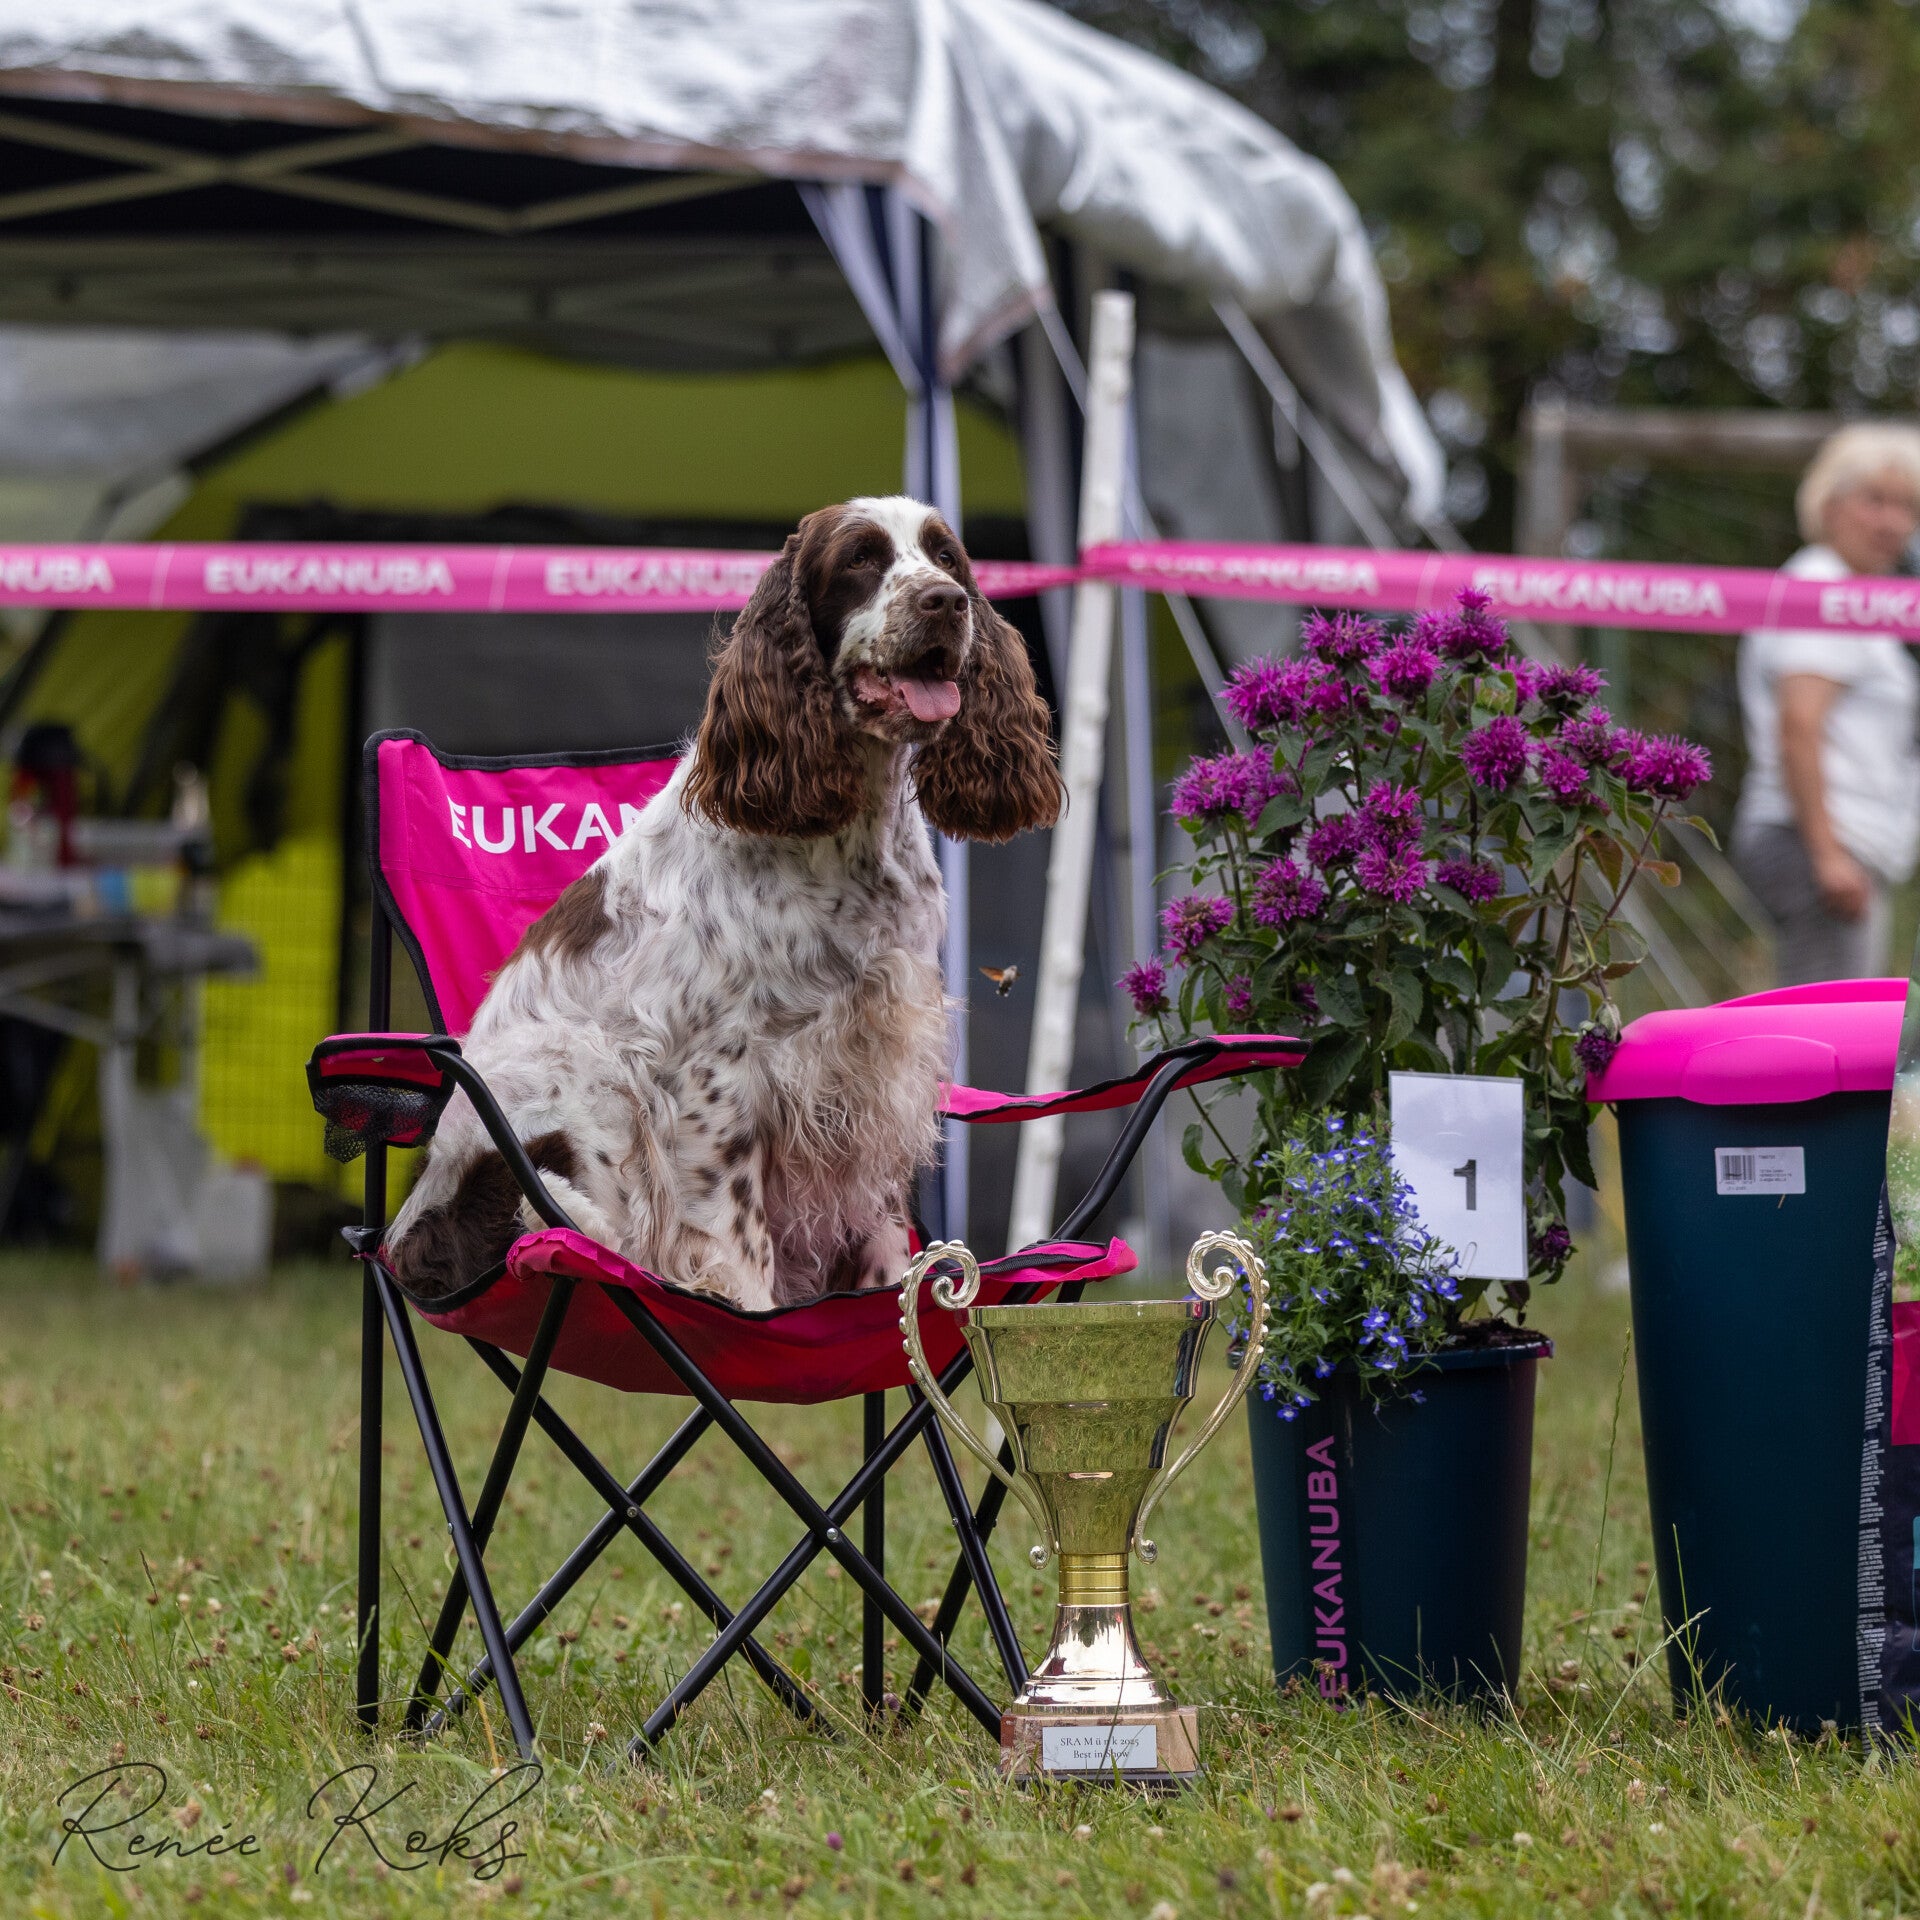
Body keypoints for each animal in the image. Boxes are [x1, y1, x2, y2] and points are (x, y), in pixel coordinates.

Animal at [385, 497, 1063, 1310]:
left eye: (948, 558)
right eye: (861, 559)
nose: (946, 602)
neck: (848, 834)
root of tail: (405, 1240)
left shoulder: (881, 1062)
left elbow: (880, 1228)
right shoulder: (719, 1077)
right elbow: (733, 1236)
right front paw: (751, 1310)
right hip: (588, 1080)